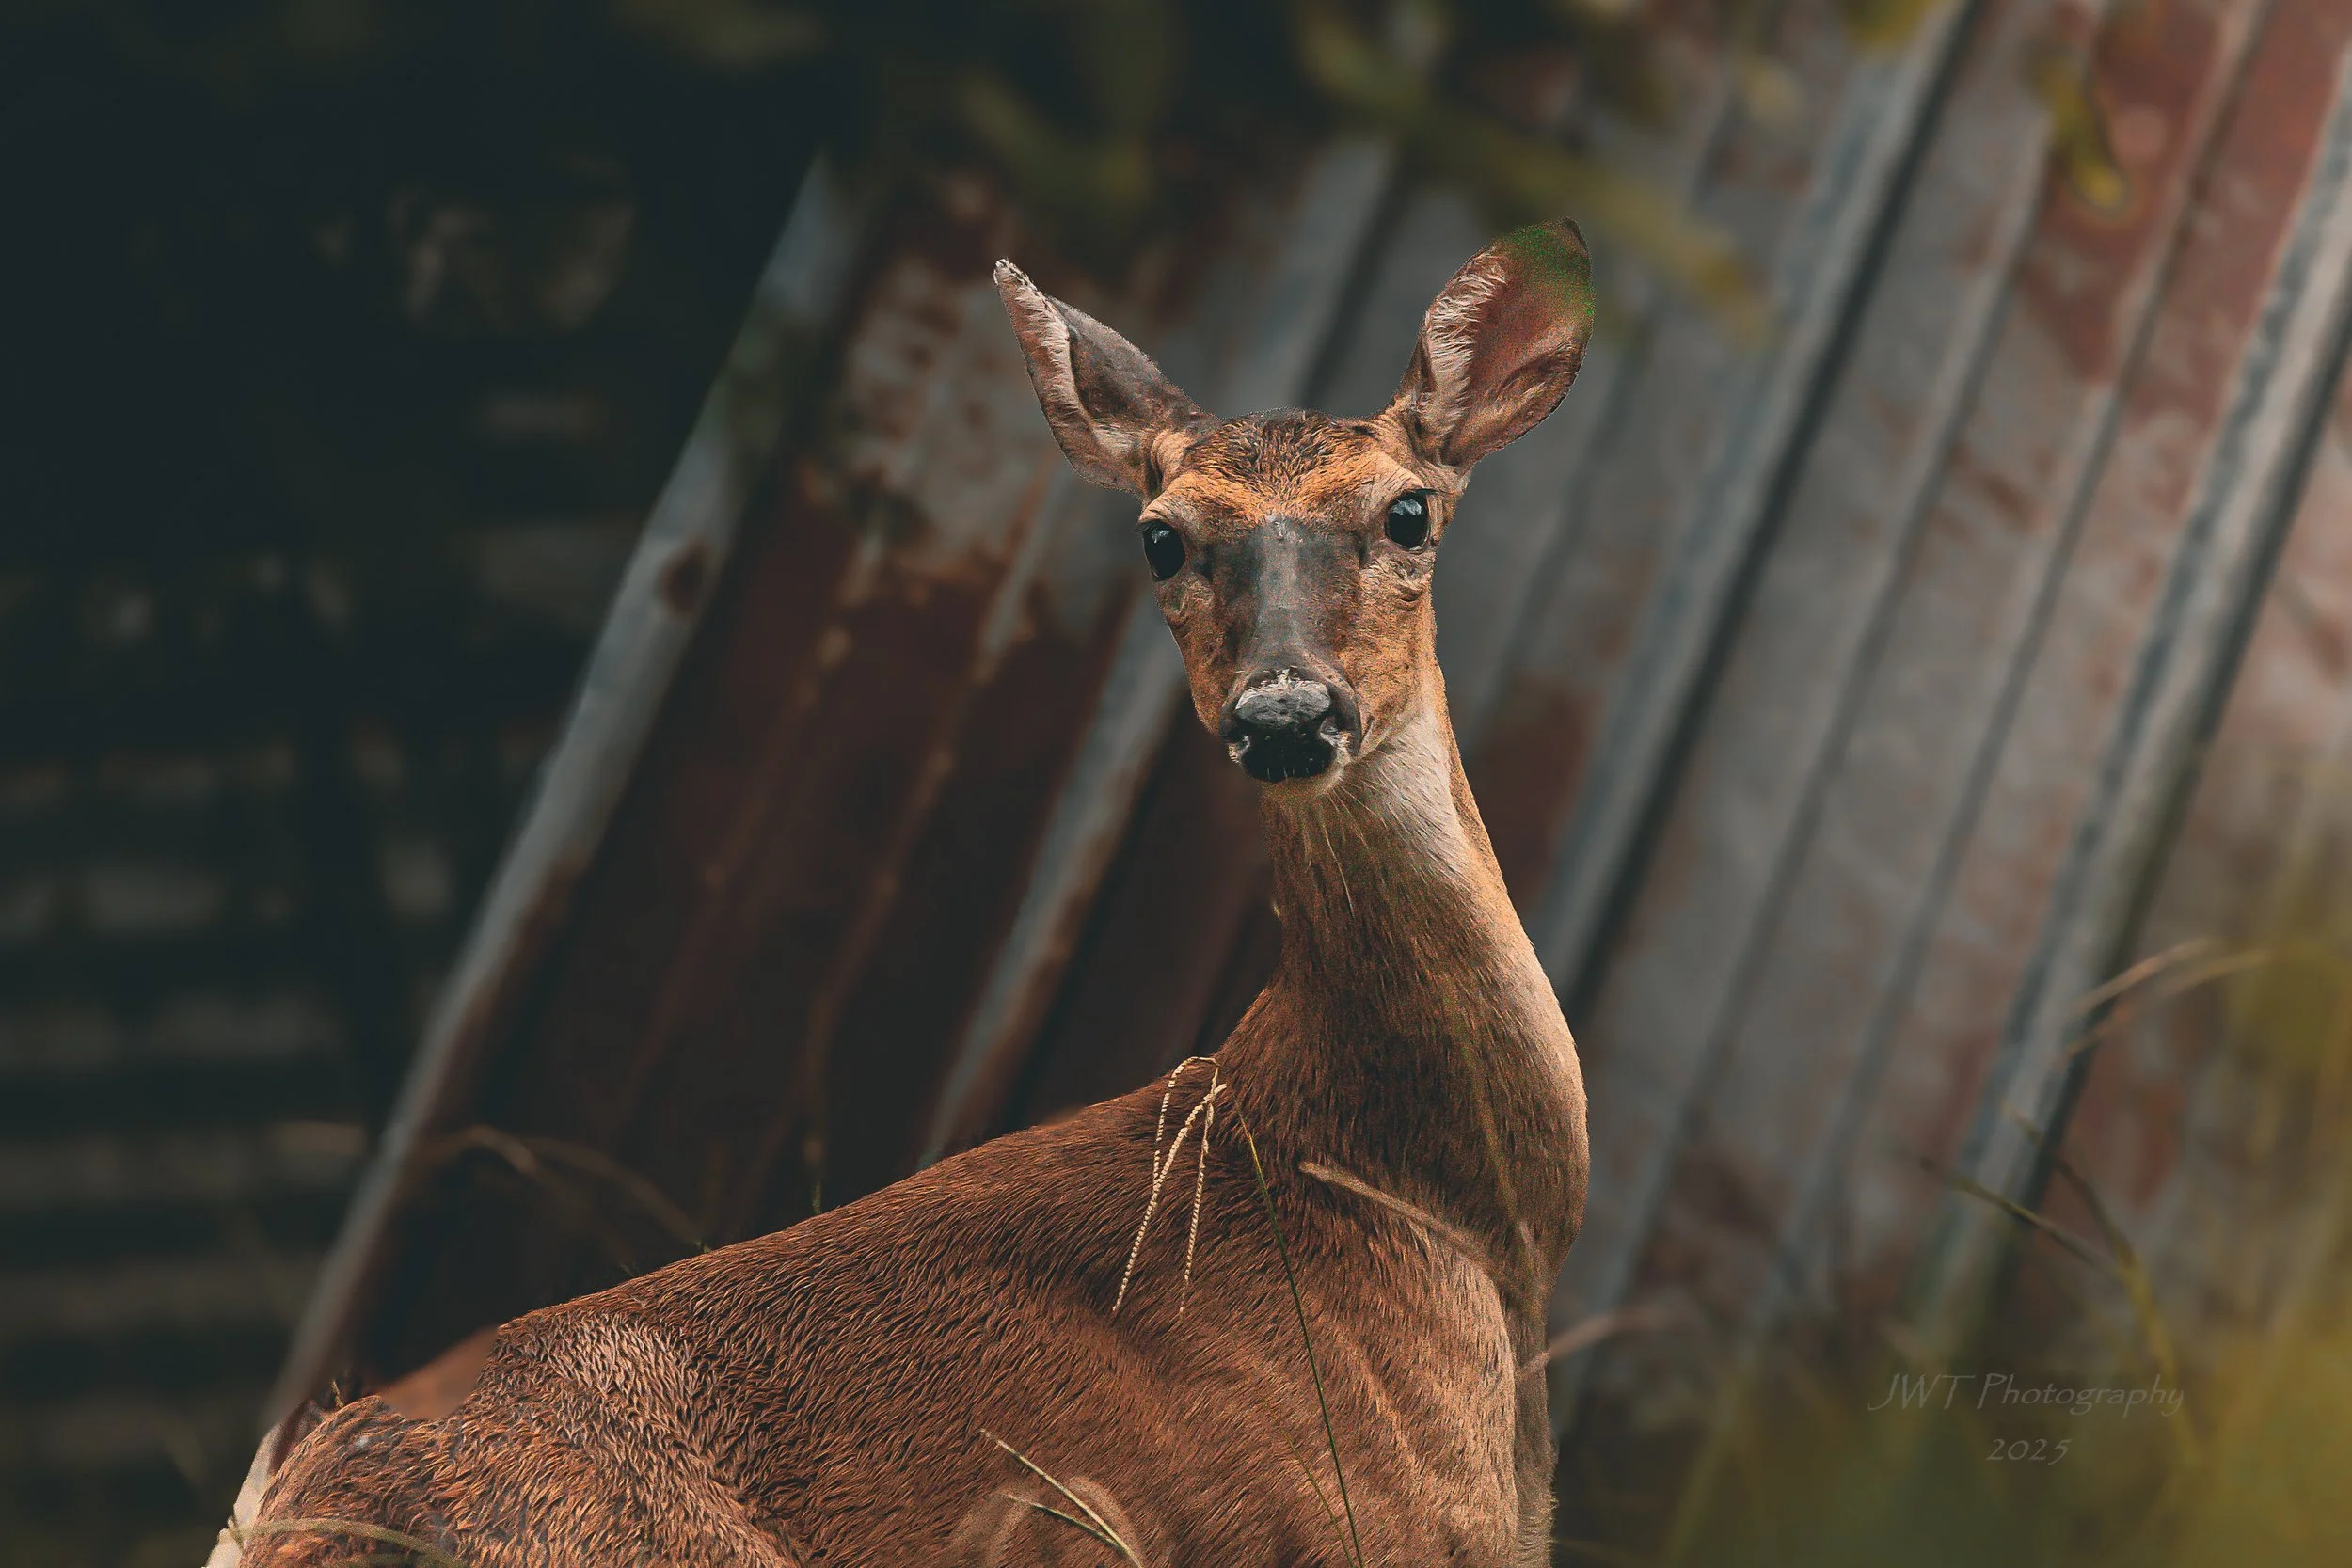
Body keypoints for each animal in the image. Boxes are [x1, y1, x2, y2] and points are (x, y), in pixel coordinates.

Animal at [222, 216, 1594, 1568]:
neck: (1410, 1187)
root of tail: (318, 1514)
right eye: (1162, 536)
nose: (1287, 713)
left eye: (1409, 512)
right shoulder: (1372, 1524)